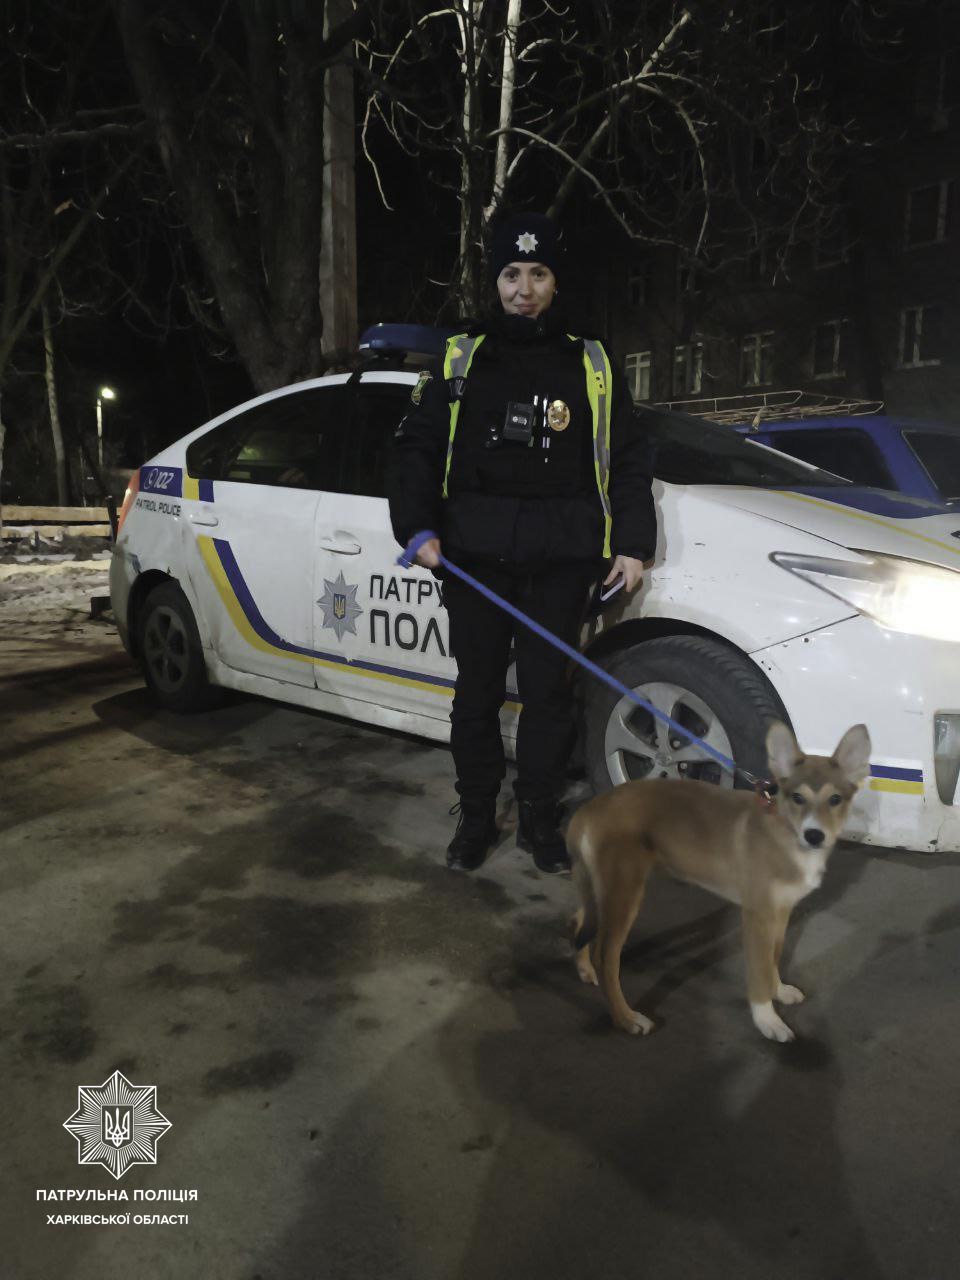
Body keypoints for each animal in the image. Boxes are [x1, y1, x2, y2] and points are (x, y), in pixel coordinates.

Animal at [568, 721, 875, 1039]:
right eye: (798, 798)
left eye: (835, 799)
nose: (815, 835)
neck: (786, 835)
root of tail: (589, 809)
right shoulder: (756, 915)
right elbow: (759, 970)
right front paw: (767, 1019)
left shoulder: (781, 910)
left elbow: (773, 957)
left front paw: (778, 990)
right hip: (624, 892)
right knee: (606, 957)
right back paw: (626, 1018)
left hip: (608, 887)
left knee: (580, 920)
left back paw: (585, 969)